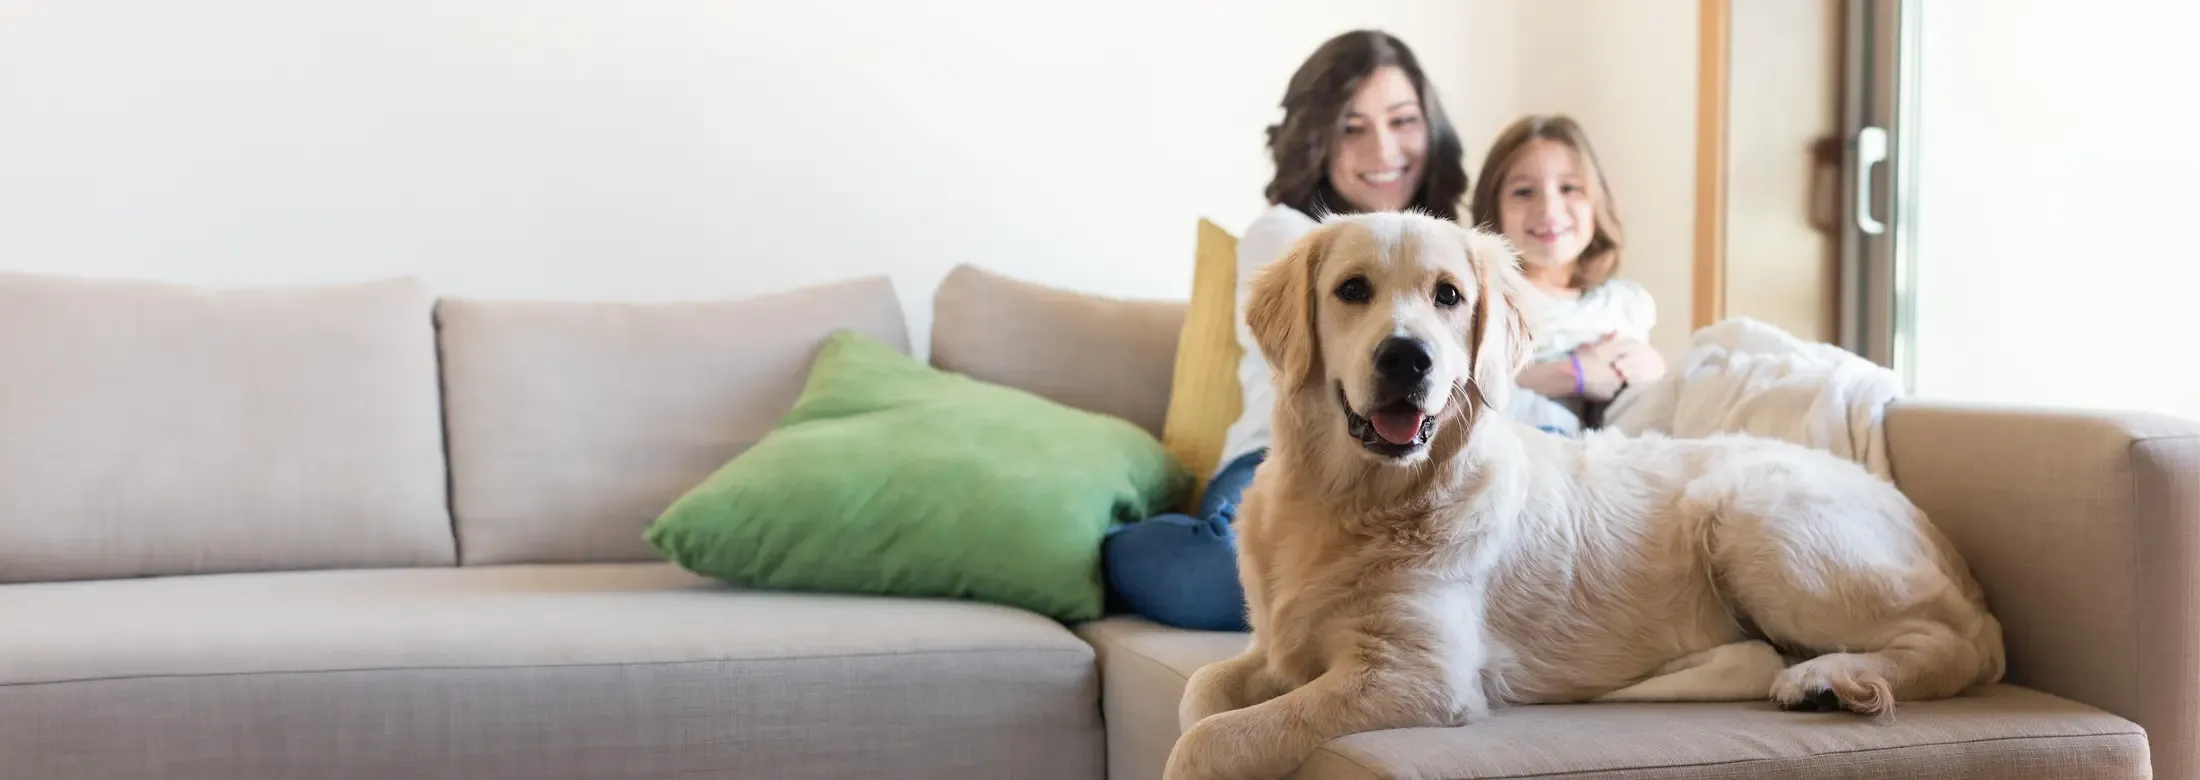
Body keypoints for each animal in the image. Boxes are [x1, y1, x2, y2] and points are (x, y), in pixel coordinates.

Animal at [1170, 212, 2015, 780]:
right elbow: (1201, 692)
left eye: (1448, 296)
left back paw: (1827, 679)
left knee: (1956, 644)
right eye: (1352, 290)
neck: (1349, 500)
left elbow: (1211, 738)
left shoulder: (1419, 673)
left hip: (1756, 521)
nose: (1407, 358)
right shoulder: (1277, 645)